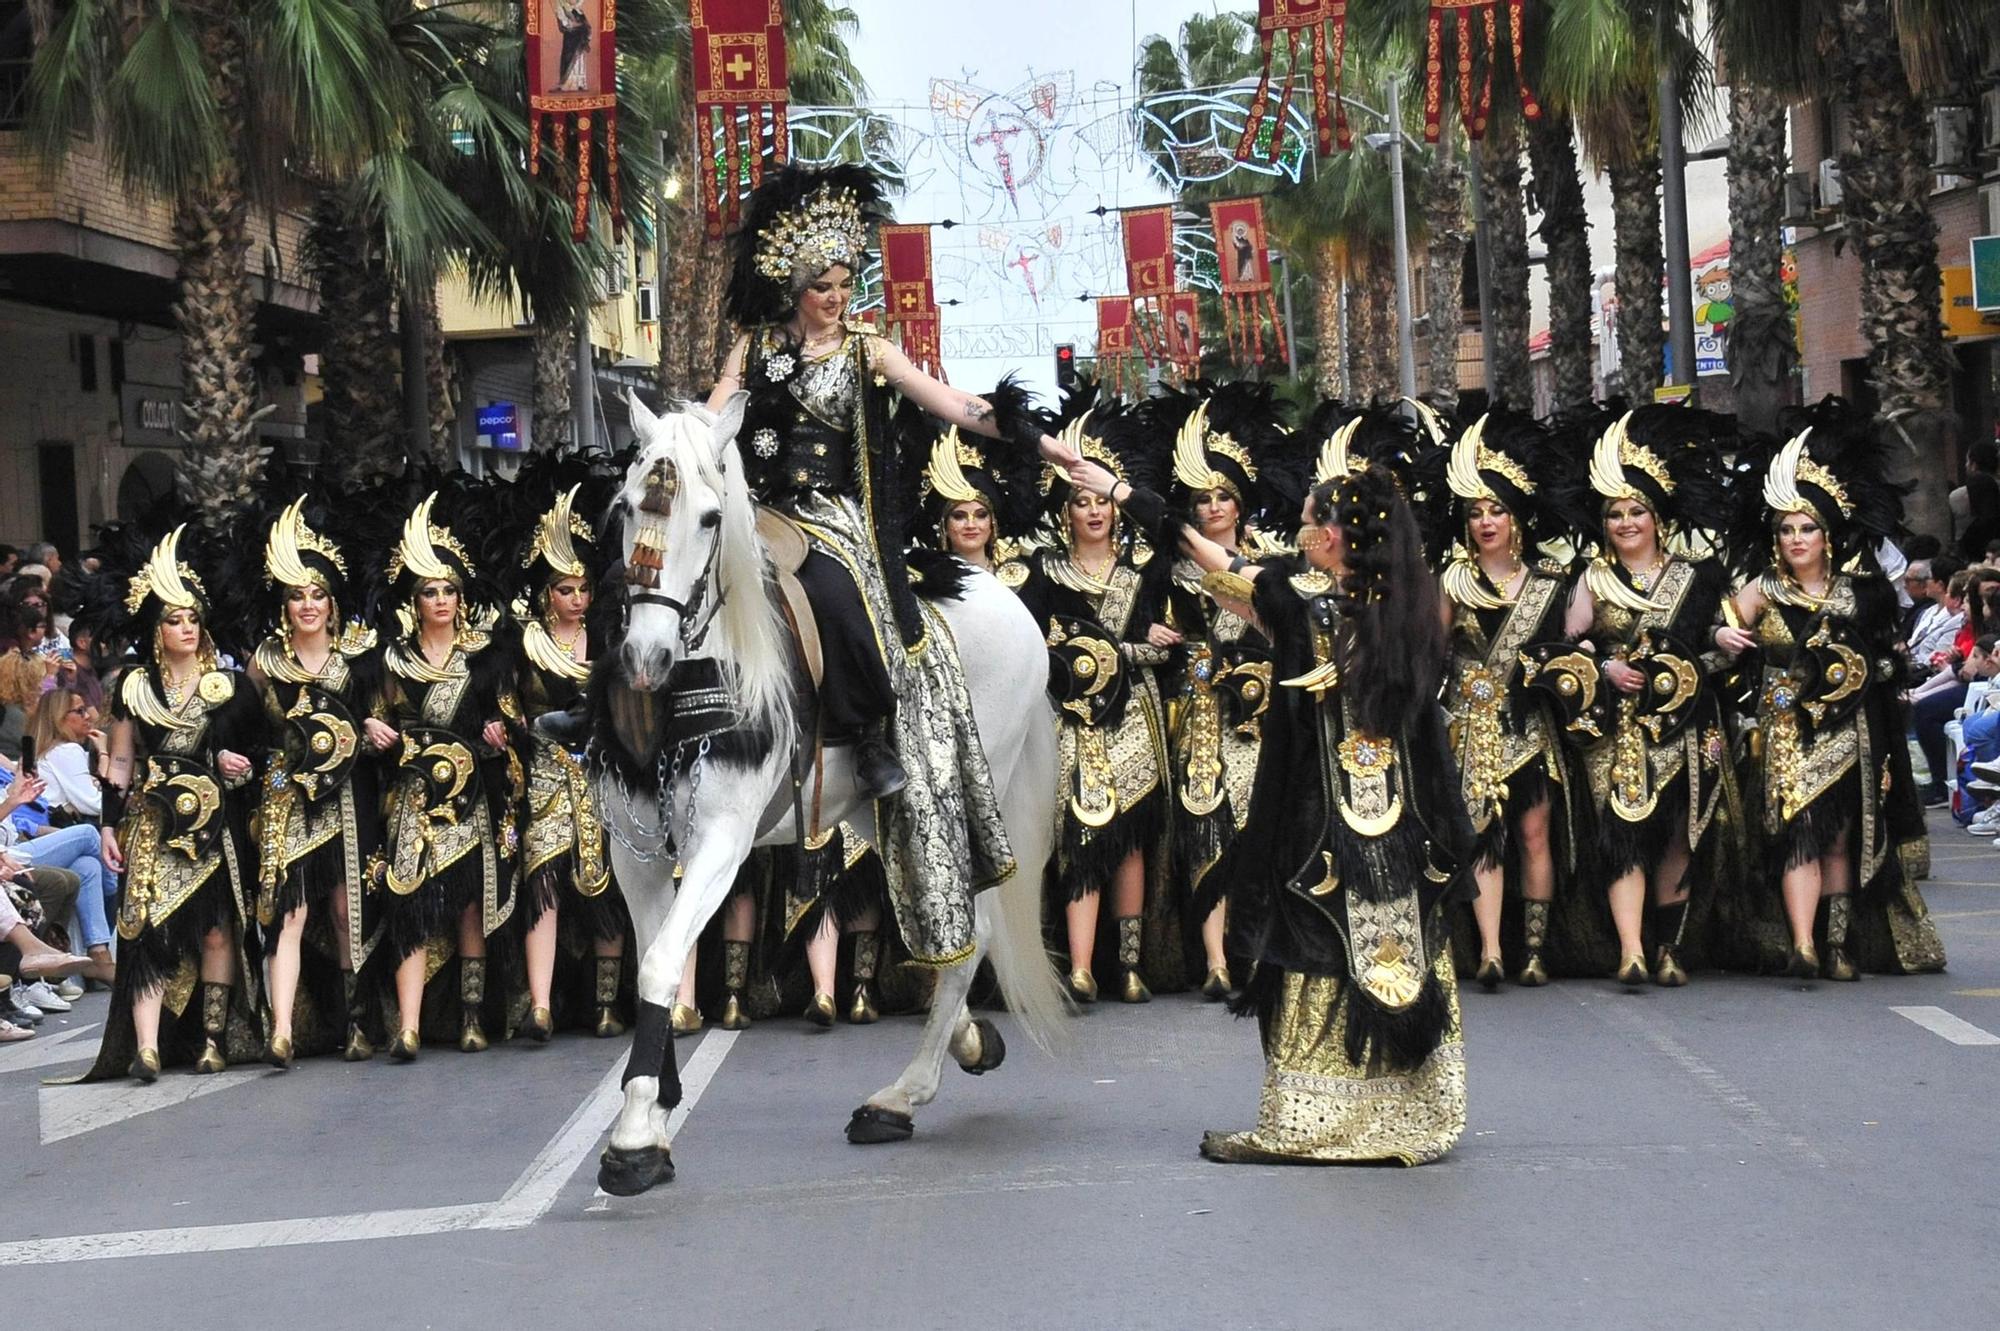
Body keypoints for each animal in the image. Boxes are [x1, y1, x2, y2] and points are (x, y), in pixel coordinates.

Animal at [588, 389, 1064, 1183]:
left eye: (710, 518)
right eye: (625, 507)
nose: (646, 657)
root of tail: (1005, 595)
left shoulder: (722, 842)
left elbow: (658, 963)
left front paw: (632, 1140)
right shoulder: (637, 850)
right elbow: (655, 961)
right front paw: (653, 1110)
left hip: (961, 788)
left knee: (972, 927)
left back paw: (900, 1096)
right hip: (878, 808)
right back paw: (962, 1045)